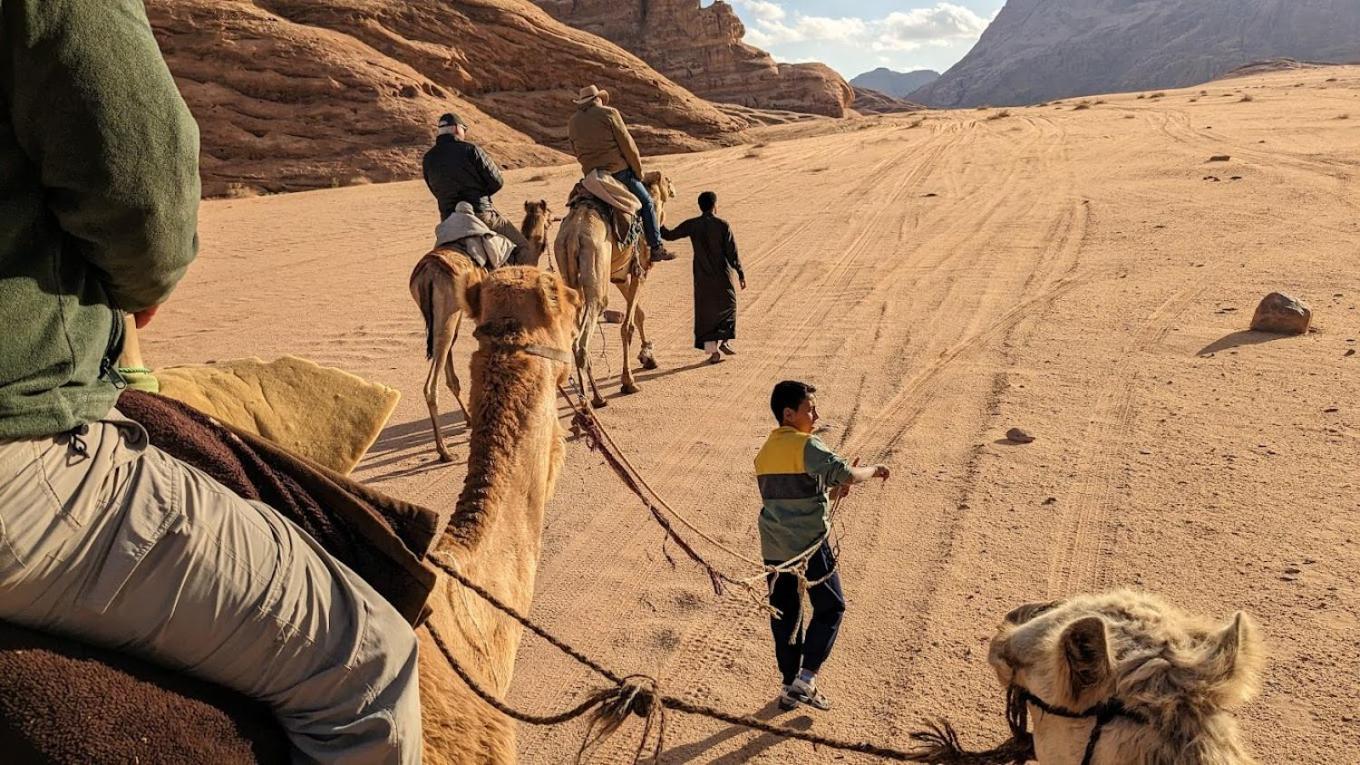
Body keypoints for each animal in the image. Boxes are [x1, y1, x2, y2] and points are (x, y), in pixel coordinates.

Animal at [410, 200, 554, 457]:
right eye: (549, 212)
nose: (555, 217)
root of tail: (426, 273)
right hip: (448, 313)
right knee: (431, 383)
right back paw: (443, 451)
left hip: (446, 315)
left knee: (445, 357)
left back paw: (466, 421)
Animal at [554, 167, 677, 405]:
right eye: (667, 180)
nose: (673, 187)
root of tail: (574, 233)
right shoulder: (640, 270)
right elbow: (627, 326)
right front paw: (628, 382)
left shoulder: (619, 275)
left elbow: (639, 315)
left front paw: (648, 357)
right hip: (596, 262)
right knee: (584, 336)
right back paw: (595, 399)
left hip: (567, 265)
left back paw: (586, 399)